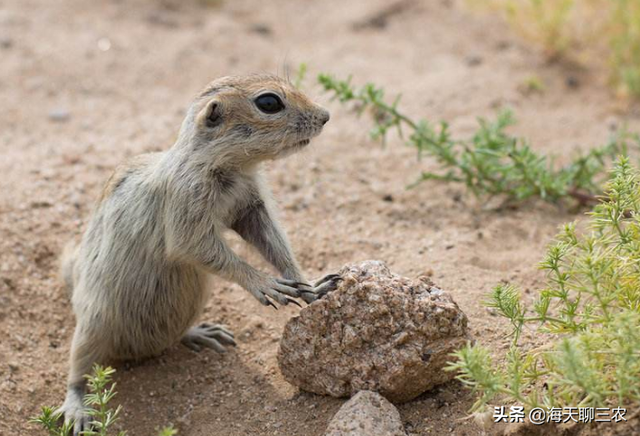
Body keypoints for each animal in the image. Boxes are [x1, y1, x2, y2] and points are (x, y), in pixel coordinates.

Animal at [58, 75, 340, 432]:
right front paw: (265, 284)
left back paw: (202, 333)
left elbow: (273, 242)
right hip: (92, 324)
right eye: (269, 103)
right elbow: (197, 247)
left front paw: (311, 285)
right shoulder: (186, 203)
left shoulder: (251, 206)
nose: (326, 116)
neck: (231, 167)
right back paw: (77, 409)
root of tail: (138, 351)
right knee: (78, 370)